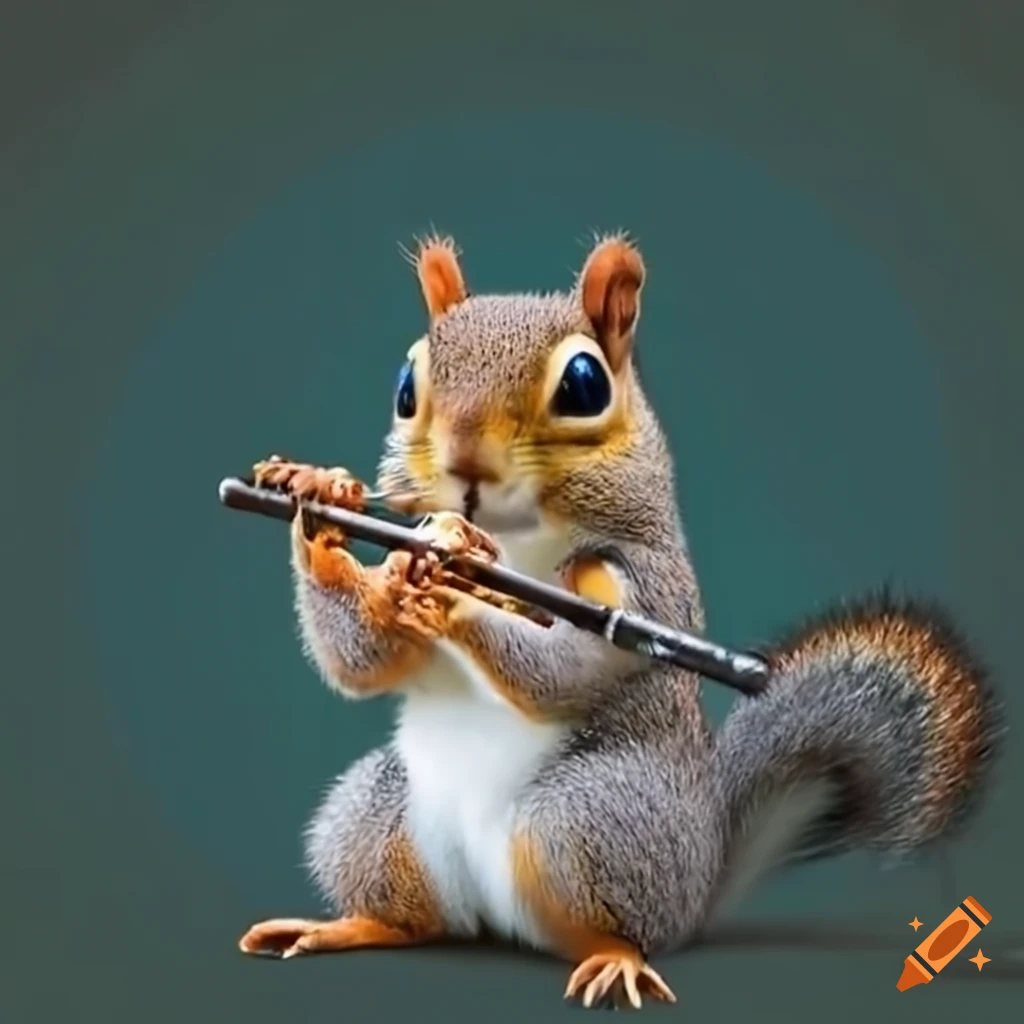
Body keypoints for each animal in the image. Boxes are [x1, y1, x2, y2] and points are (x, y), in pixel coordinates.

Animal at [237, 232, 1000, 1009]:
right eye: (405, 387)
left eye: (584, 385)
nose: (465, 462)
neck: (515, 535)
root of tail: (697, 890)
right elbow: (364, 660)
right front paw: (320, 500)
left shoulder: (645, 585)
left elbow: (572, 667)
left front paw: (457, 585)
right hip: (377, 815)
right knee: (413, 917)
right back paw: (346, 925)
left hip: (591, 821)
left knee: (619, 923)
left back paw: (616, 958)